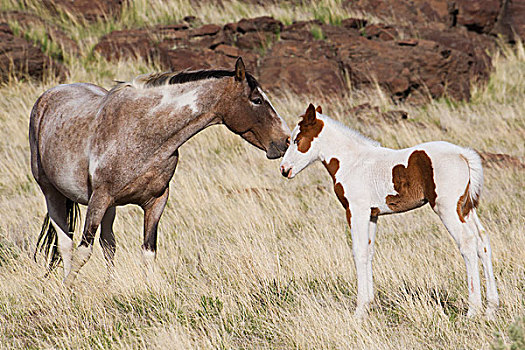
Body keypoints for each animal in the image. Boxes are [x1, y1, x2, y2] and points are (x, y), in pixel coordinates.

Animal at [30, 58, 288, 286]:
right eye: (256, 100)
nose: (285, 141)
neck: (143, 132)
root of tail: (48, 95)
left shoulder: (155, 202)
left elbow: (148, 251)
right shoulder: (99, 199)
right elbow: (83, 251)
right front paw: (68, 290)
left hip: (110, 208)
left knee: (108, 244)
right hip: (52, 192)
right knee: (66, 243)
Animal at [280, 104, 498, 320]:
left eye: (297, 140)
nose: (284, 169)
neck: (352, 162)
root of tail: (463, 154)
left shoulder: (356, 210)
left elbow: (359, 251)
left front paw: (359, 310)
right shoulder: (372, 214)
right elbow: (369, 252)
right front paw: (368, 304)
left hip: (447, 208)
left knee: (467, 242)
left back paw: (473, 310)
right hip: (466, 208)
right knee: (483, 241)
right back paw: (491, 309)